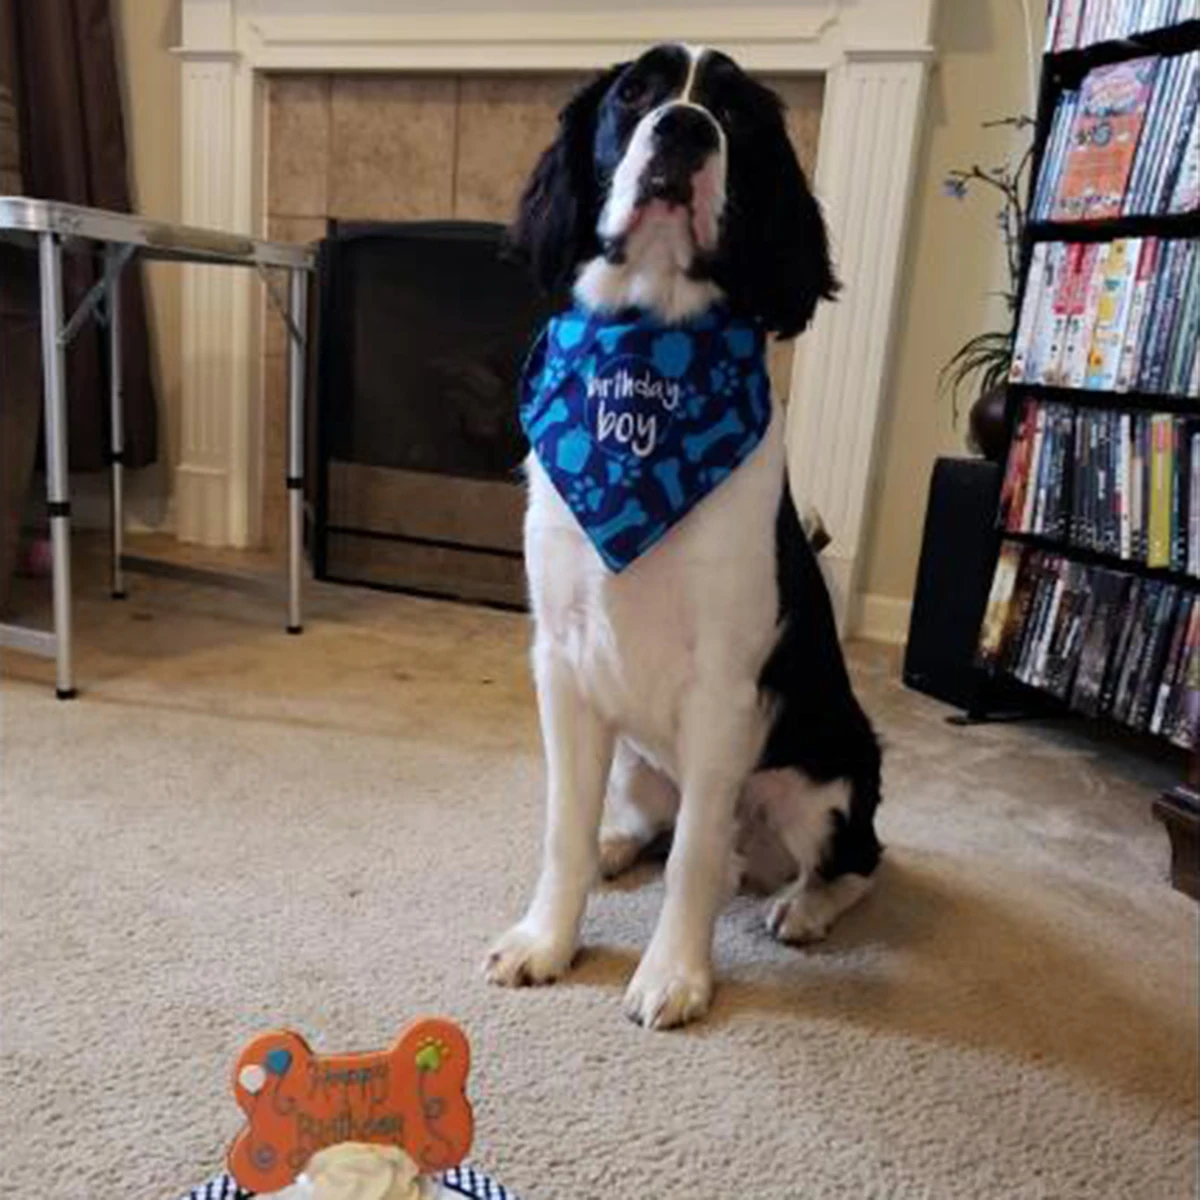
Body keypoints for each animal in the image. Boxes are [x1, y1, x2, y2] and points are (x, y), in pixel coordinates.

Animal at [484, 44, 882, 1030]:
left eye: (733, 114)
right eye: (635, 94)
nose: (685, 129)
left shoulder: (725, 687)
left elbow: (698, 855)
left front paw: (673, 974)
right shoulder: (563, 660)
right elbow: (563, 824)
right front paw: (546, 939)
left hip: (827, 778)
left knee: (853, 858)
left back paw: (803, 906)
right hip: (636, 759)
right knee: (644, 819)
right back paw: (618, 845)